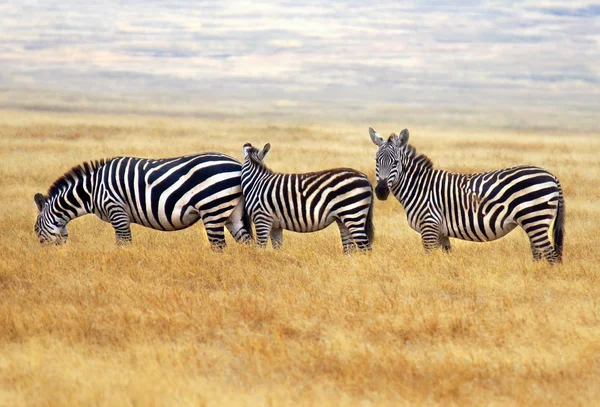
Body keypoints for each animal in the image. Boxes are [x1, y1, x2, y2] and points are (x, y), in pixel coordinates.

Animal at [33, 152, 253, 250]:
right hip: (232, 213)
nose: (45, 255)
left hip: (213, 208)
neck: (92, 189)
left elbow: (124, 242)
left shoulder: (116, 209)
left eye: (35, 230)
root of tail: (237, 165)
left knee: (219, 246)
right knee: (247, 243)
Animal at [240, 142, 372, 253]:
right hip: (343, 218)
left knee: (366, 247)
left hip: (353, 214)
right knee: (349, 248)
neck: (256, 182)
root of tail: (365, 177)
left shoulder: (262, 219)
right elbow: (278, 249)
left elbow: (260, 249)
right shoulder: (275, 225)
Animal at [368, 129, 564, 266]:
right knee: (538, 252)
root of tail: (552, 175)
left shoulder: (429, 225)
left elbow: (430, 258)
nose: (381, 191)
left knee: (550, 255)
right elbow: (445, 257)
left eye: (396, 162)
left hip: (535, 218)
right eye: (377, 161)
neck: (419, 187)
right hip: (533, 222)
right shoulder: (441, 232)